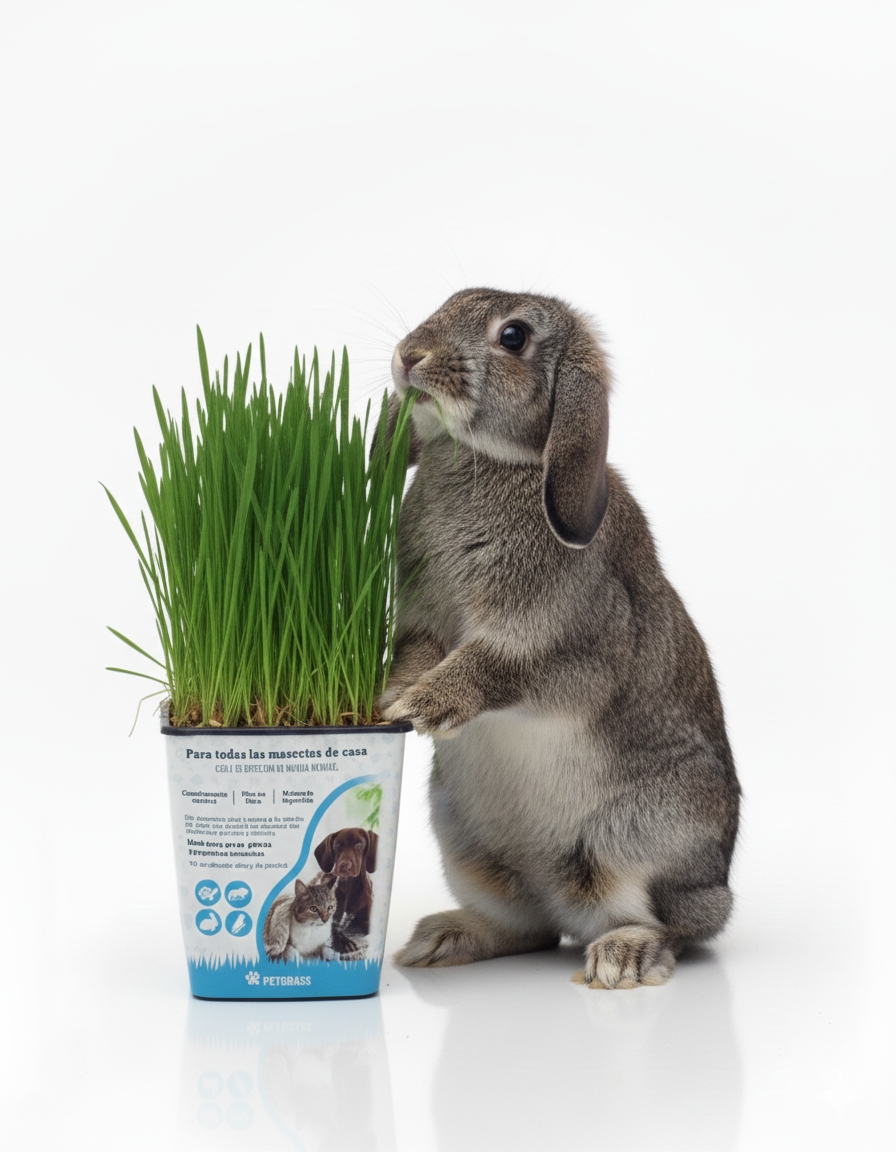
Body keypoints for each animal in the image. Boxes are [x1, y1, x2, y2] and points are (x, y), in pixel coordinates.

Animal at [377, 287, 740, 989]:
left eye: (513, 337)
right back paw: (440, 942)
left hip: (638, 843)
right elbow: (417, 652)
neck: (491, 462)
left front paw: (427, 707)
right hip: (465, 843)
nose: (409, 354)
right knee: (529, 927)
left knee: (672, 927)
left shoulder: (563, 648)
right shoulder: (422, 622)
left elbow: (494, 666)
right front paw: (393, 699)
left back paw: (622, 960)